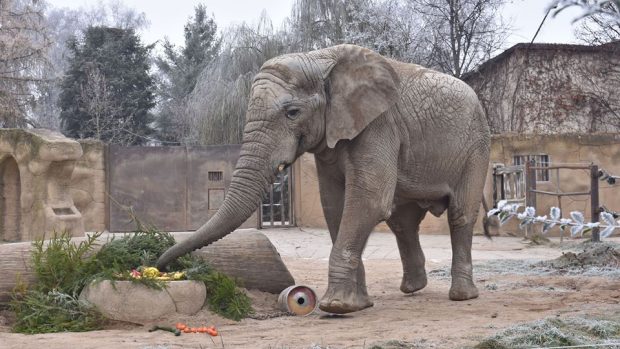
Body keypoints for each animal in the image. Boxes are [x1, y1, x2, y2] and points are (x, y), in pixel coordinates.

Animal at [157, 43, 492, 312]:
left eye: (292, 112)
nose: (162, 267)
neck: (320, 58)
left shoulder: (379, 125)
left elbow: (367, 201)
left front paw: (336, 307)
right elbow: (334, 205)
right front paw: (358, 305)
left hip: (477, 146)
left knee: (460, 214)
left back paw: (462, 296)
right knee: (402, 220)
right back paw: (413, 289)